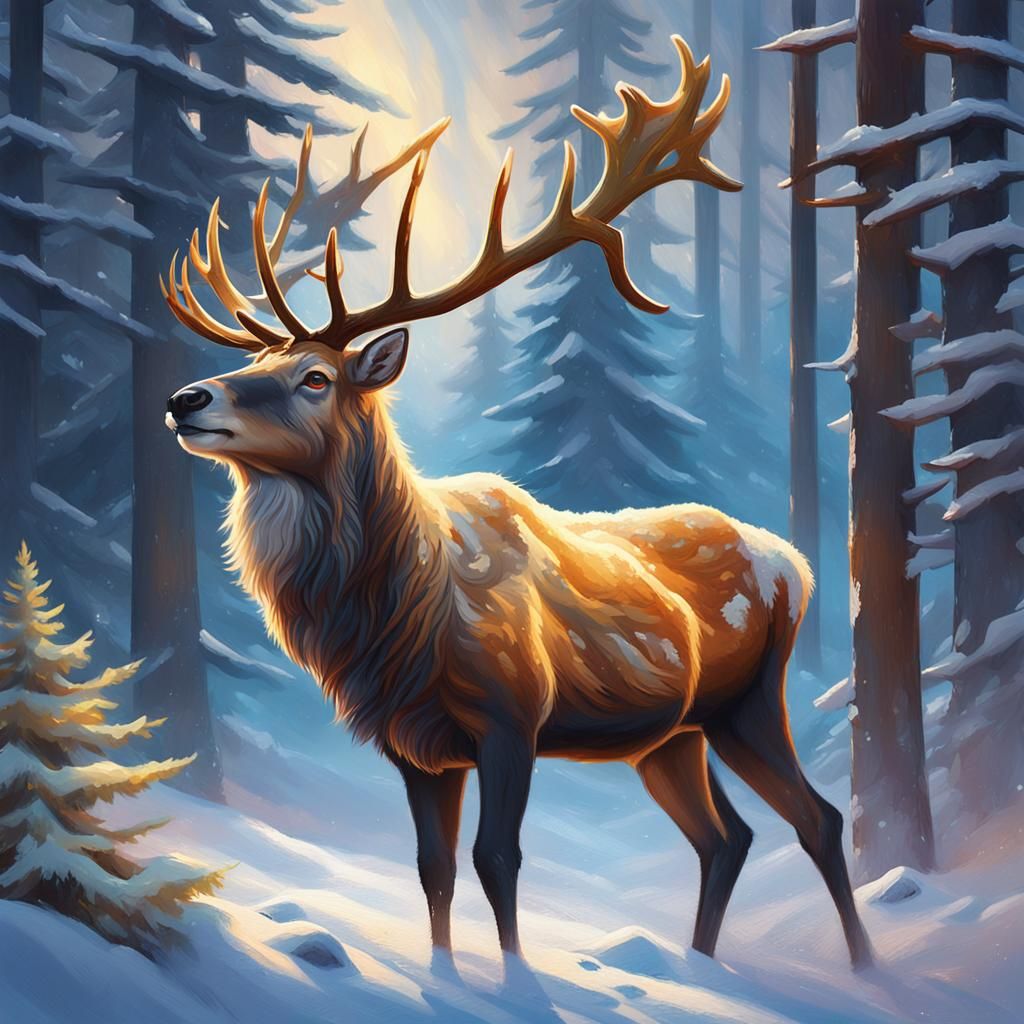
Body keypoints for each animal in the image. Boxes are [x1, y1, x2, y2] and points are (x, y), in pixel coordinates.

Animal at [161, 36, 872, 970]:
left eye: (314, 377)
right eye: (255, 362)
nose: (186, 399)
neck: (394, 613)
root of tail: (793, 563)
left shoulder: (512, 716)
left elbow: (497, 860)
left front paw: (515, 978)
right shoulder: (413, 744)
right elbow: (431, 870)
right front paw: (445, 972)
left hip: (747, 699)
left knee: (816, 819)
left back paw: (865, 967)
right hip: (671, 736)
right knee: (729, 838)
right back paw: (704, 964)